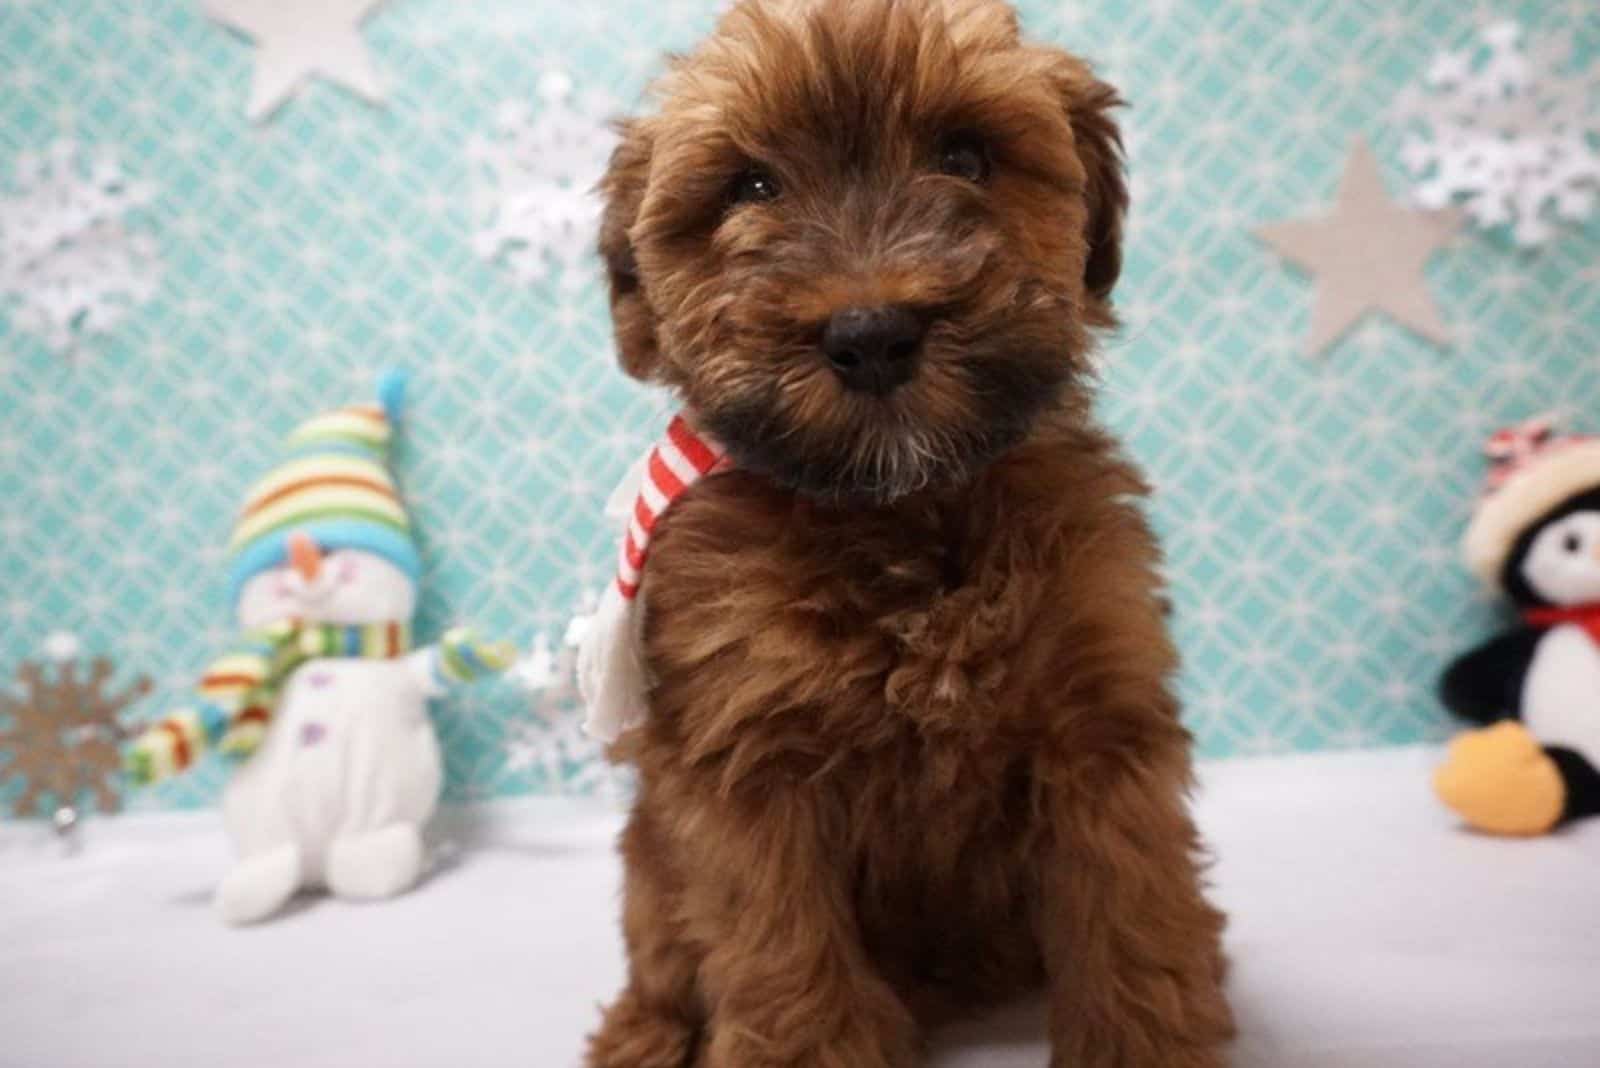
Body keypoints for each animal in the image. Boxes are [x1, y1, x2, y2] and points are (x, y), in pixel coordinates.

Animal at [595, 2, 1228, 1068]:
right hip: (648, 860)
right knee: (659, 956)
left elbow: (1132, 915)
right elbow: (788, 960)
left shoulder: (1101, 725)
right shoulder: (749, 769)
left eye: (966, 156)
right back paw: (643, 1032)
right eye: (751, 186)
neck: (903, 511)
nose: (872, 334)